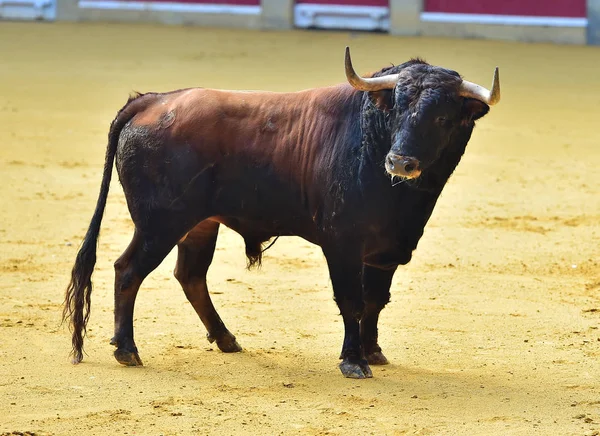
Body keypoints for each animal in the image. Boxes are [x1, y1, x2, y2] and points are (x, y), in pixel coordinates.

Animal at [63, 46, 500, 378]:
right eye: (396, 108)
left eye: (442, 117)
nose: (400, 162)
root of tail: (152, 100)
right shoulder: (342, 243)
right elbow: (352, 300)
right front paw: (353, 361)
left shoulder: (386, 249)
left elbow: (376, 300)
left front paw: (373, 351)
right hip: (160, 224)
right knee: (129, 270)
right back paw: (127, 349)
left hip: (199, 224)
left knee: (190, 276)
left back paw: (226, 339)